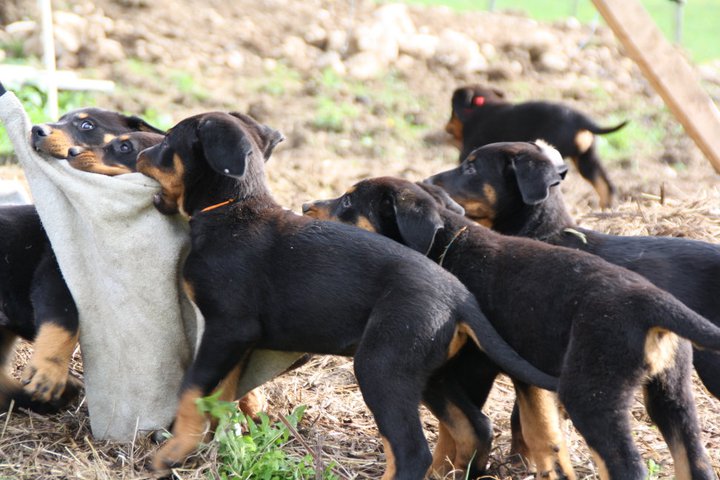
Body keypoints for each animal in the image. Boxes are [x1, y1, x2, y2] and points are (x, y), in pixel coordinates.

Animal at [139, 111, 556, 476]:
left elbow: (192, 389)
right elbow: (219, 395)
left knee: (411, 452)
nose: (141, 154)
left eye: (169, 142)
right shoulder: (238, 341)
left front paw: (172, 452)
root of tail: (461, 297)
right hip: (430, 372)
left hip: (381, 365)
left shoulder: (228, 327)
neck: (229, 210)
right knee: (475, 427)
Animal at [306, 176, 720, 480]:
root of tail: (654, 305)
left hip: (593, 394)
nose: (305, 207)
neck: (451, 246)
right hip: (672, 396)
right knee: (695, 461)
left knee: (626, 465)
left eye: (348, 203)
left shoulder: (467, 369)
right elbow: (536, 433)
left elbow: (458, 430)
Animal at [448, 85, 628, 209]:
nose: (447, 127)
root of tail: (581, 121)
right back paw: (607, 209)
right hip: (587, 159)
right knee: (605, 185)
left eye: (452, 113)